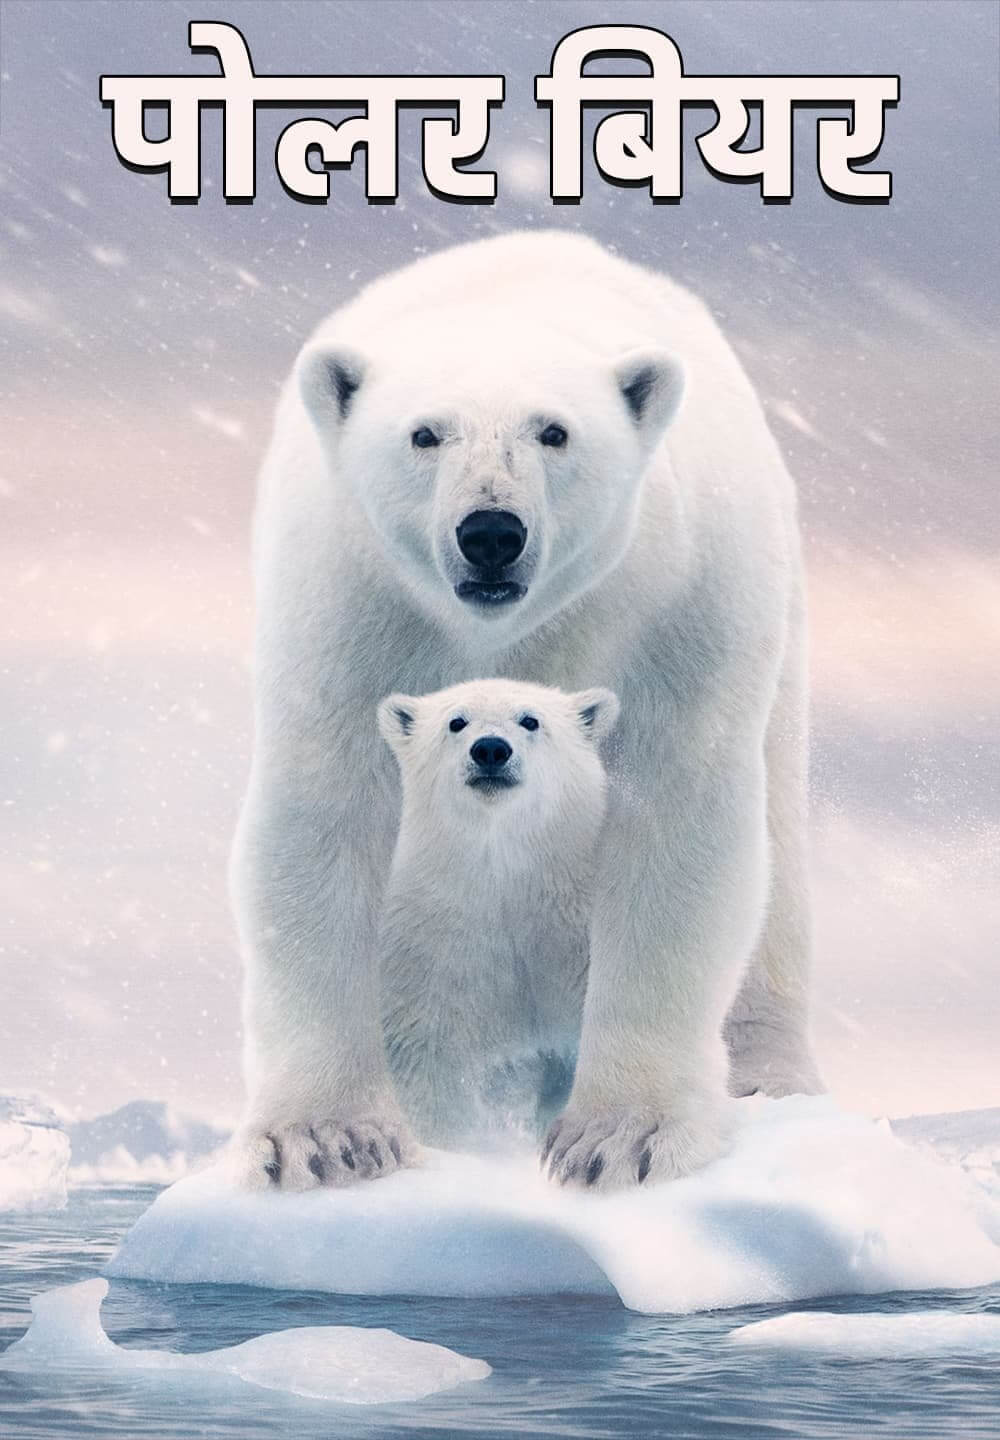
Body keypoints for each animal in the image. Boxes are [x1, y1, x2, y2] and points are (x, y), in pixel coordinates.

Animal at [376, 678, 619, 1159]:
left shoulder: (576, 939)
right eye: (457, 721)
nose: (490, 749)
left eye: (530, 719)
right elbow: (431, 1059)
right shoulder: (433, 947)